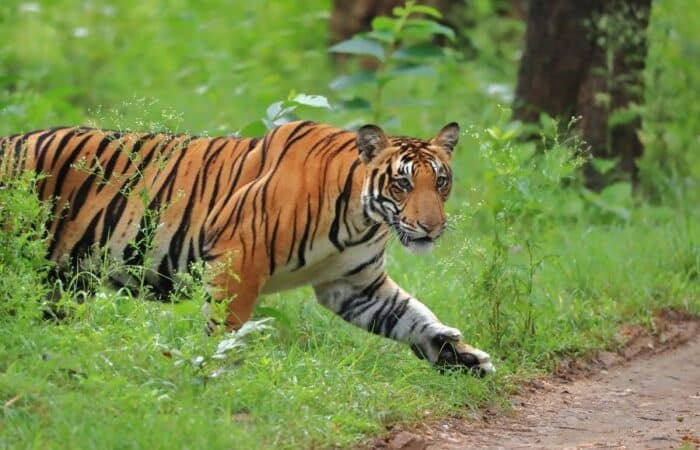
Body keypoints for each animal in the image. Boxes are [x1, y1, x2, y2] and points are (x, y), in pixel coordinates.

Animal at [0, 121, 494, 375]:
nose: (432, 227)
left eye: (441, 182)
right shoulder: (238, 258)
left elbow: (414, 317)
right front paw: (221, 375)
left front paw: (462, 356)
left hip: (62, 281)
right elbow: (228, 330)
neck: (361, 217)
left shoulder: (355, 287)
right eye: (402, 183)